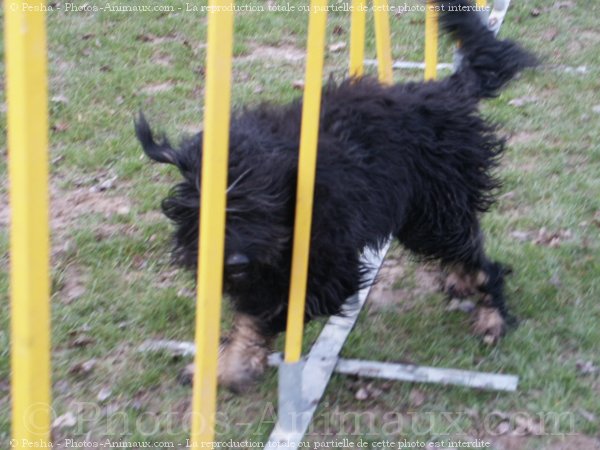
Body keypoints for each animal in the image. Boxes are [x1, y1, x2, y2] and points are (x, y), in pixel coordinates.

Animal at [135, 0, 536, 392]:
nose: (234, 262)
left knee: (480, 260)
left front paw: (232, 368)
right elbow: (252, 309)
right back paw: (462, 282)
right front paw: (221, 365)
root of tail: (447, 92)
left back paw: (491, 314)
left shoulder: (329, 268)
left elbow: (264, 315)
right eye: (203, 211)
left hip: (434, 213)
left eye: (260, 209)